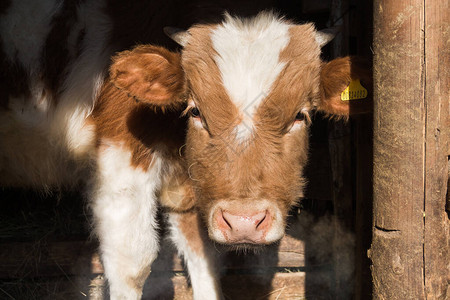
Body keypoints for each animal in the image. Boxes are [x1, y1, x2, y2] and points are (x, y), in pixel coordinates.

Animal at [0, 1, 370, 298]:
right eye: (195, 112)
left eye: (300, 116)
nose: (245, 222)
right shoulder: (120, 158)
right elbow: (131, 264)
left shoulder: (193, 183)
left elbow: (203, 255)